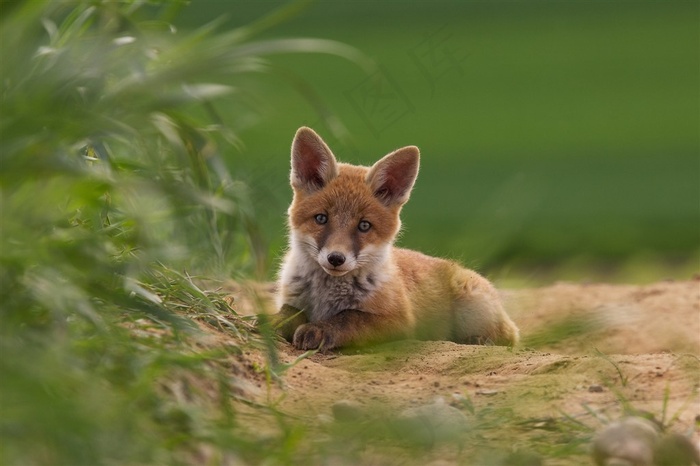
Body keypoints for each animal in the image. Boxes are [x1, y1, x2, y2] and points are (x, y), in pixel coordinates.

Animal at [274, 127, 520, 350]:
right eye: (321, 218)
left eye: (364, 225)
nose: (336, 258)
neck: (325, 297)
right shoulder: (291, 299)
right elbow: (289, 312)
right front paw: (275, 323)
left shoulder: (400, 322)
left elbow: (350, 317)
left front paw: (320, 329)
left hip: (473, 309)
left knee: (509, 337)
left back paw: (477, 340)